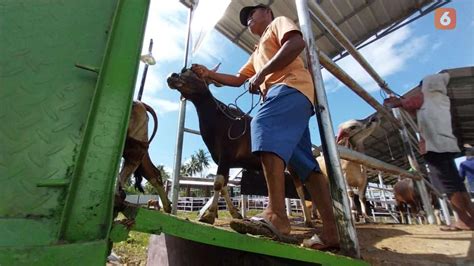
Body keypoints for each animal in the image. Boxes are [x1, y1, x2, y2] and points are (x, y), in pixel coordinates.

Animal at [168, 67, 314, 225]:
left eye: (194, 73)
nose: (172, 76)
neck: (219, 120)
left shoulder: (226, 154)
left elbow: (218, 183)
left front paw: (210, 215)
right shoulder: (224, 161)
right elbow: (224, 186)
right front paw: (235, 213)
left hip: (292, 165)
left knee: (299, 188)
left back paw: (308, 219)